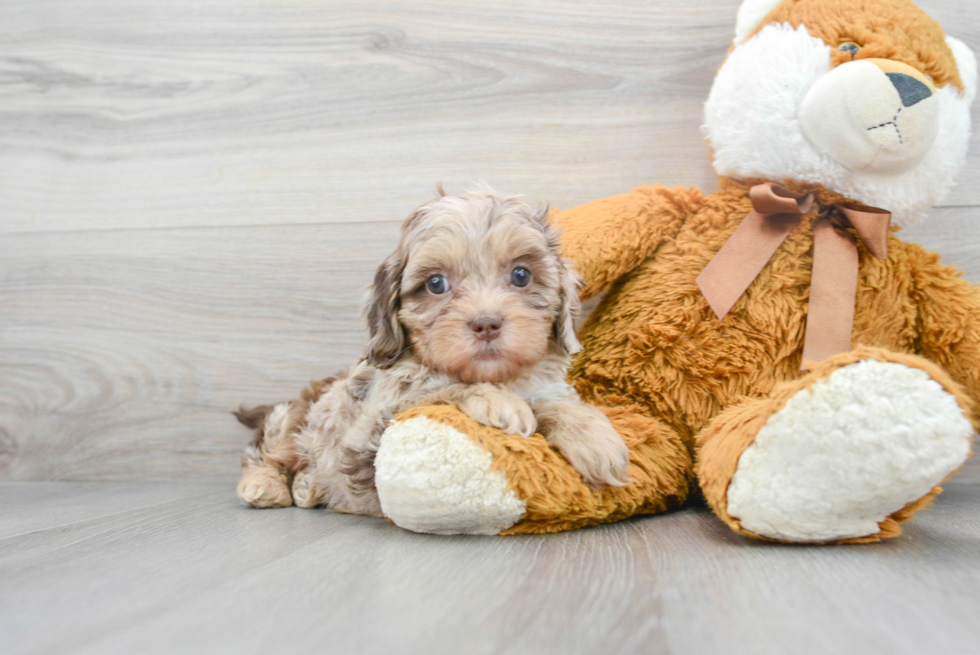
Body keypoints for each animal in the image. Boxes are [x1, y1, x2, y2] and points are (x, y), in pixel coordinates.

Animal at [239, 186, 636, 516]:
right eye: (435, 284)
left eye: (521, 275)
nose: (487, 323)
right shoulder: (371, 427)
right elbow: (439, 389)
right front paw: (496, 400)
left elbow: (553, 401)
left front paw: (593, 437)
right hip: (289, 420)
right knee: (263, 452)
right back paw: (268, 485)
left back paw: (307, 487)